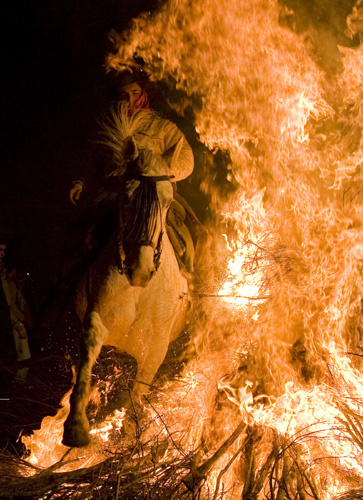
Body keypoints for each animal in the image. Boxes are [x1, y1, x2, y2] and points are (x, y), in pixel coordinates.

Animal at [63, 131, 192, 448]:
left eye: (167, 202)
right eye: (125, 198)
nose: (139, 268)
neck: (139, 293)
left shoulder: (157, 346)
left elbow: (140, 389)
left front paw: (131, 433)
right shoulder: (95, 320)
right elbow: (86, 361)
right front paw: (75, 427)